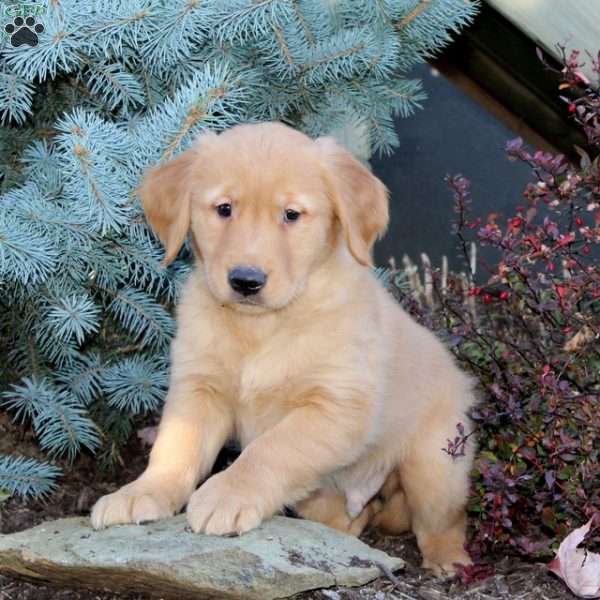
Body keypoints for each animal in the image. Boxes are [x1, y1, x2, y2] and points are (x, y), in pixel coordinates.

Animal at [91, 122, 476, 576]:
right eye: (224, 208)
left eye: (291, 215)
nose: (246, 280)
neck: (262, 327)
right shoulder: (200, 388)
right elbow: (175, 446)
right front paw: (143, 492)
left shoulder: (337, 408)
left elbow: (270, 451)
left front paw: (227, 495)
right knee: (349, 519)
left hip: (436, 462)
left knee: (443, 516)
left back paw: (448, 559)